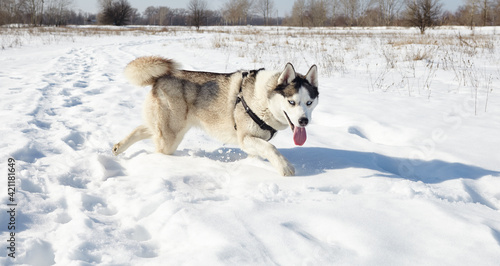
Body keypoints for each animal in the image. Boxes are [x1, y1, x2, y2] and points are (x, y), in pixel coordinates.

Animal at [112, 56, 320, 176]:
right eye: (291, 102)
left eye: (309, 103)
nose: (303, 121)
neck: (263, 100)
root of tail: (160, 77)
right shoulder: (245, 137)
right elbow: (271, 147)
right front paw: (285, 167)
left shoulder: (254, 140)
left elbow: (262, 150)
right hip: (171, 135)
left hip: (170, 127)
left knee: (143, 129)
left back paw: (118, 147)